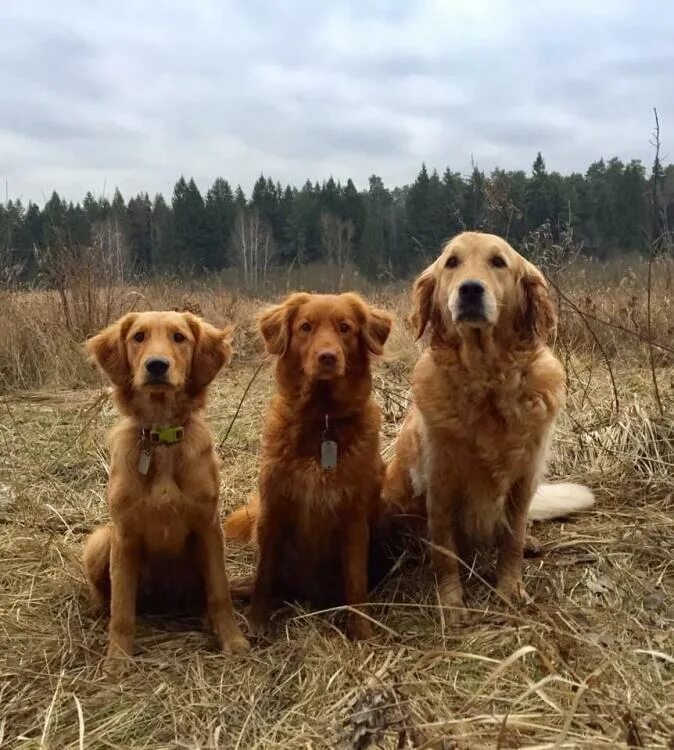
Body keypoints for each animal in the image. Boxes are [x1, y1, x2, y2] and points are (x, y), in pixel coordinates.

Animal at [82, 312, 248, 668]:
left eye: (179, 337)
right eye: (139, 337)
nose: (157, 365)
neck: (162, 438)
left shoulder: (209, 527)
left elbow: (220, 594)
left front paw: (233, 640)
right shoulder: (124, 535)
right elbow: (122, 609)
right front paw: (117, 660)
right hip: (101, 540)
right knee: (108, 599)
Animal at [226, 294, 392, 640]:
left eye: (345, 328)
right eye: (305, 327)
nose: (327, 357)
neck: (322, 422)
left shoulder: (354, 518)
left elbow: (356, 582)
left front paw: (362, 632)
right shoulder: (273, 509)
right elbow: (264, 576)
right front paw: (257, 623)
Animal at [380, 234, 592, 624]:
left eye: (498, 262)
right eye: (452, 262)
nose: (470, 290)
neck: (487, 380)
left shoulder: (524, 479)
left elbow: (511, 540)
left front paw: (510, 589)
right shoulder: (441, 483)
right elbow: (445, 553)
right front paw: (451, 603)